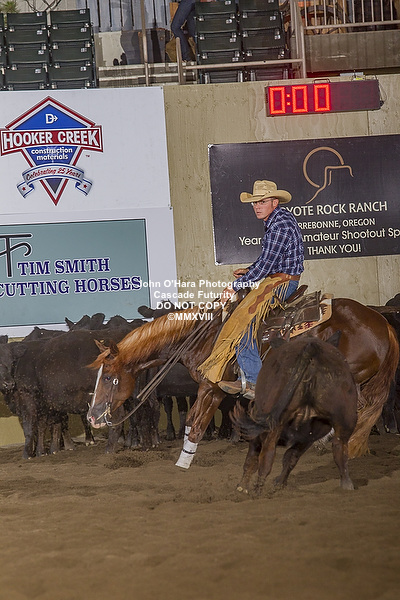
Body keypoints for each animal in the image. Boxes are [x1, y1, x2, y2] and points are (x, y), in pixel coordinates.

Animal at [86, 297, 399, 467]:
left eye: (110, 378)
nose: (92, 416)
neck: (204, 336)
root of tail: (381, 323)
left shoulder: (211, 388)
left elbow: (196, 424)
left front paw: (182, 463)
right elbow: (192, 422)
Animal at [231, 334, 359, 495]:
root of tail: (312, 348)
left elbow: (252, 458)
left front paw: (242, 486)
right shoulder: (308, 436)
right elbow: (291, 457)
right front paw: (279, 483)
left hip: (273, 422)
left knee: (267, 454)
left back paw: (257, 490)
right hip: (344, 418)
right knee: (340, 448)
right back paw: (347, 485)